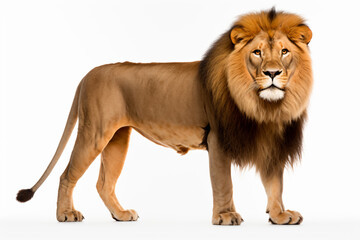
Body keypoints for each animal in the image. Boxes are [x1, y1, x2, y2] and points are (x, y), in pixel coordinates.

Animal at [16, 7, 312, 225]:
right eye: (257, 53)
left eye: (284, 51)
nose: (272, 73)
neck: (264, 107)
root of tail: (88, 74)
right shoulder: (217, 138)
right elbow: (223, 182)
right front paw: (226, 216)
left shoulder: (272, 140)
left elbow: (275, 183)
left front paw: (279, 215)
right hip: (94, 131)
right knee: (67, 175)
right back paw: (65, 214)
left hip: (117, 138)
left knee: (104, 183)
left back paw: (120, 215)